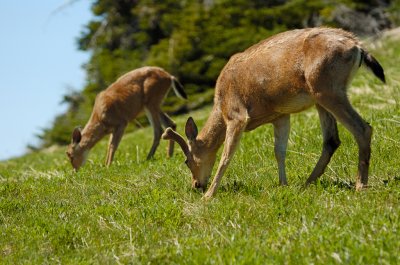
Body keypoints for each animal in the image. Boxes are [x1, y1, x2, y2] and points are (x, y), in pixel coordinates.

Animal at [162, 28, 384, 198]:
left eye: (186, 160)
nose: (196, 185)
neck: (220, 104)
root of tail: (357, 46)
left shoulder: (237, 115)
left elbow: (226, 155)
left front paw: (209, 196)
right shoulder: (280, 116)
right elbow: (279, 151)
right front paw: (283, 184)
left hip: (328, 89)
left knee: (362, 128)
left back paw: (360, 185)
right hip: (321, 97)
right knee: (331, 140)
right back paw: (307, 183)